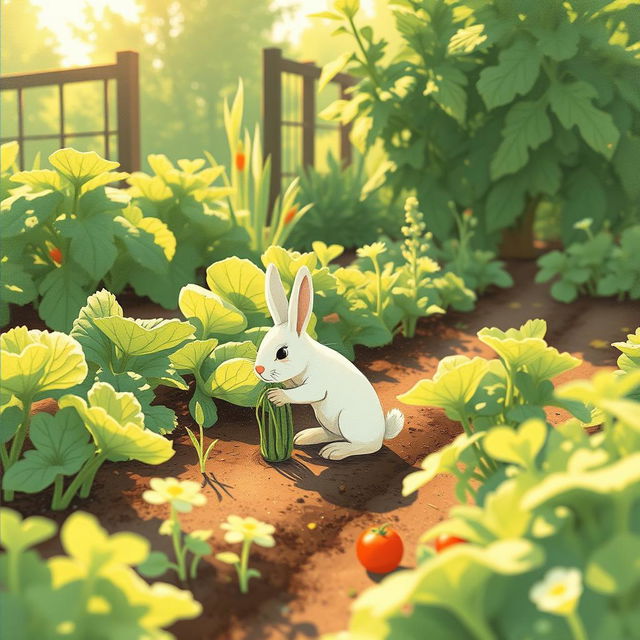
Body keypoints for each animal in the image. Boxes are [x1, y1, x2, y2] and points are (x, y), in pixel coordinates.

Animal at [252, 264, 402, 460]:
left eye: (282, 353)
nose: (259, 369)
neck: (308, 358)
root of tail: (382, 433)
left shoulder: (317, 384)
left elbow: (304, 393)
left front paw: (277, 396)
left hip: (347, 420)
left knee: (367, 446)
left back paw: (335, 451)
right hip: (325, 419)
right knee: (332, 434)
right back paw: (305, 437)